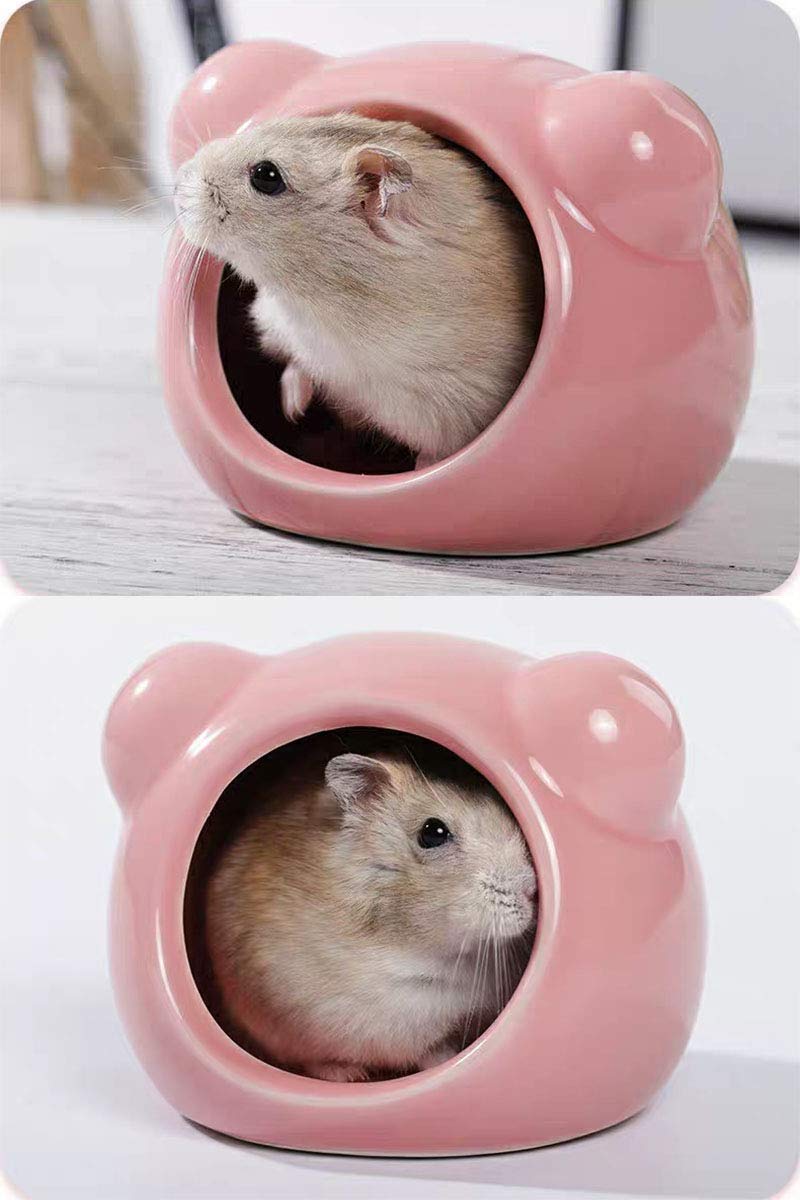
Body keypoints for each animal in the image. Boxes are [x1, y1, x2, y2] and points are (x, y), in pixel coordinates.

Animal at [175, 113, 543, 467]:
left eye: (266, 176)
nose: (178, 182)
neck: (320, 295)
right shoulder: (283, 329)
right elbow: (297, 363)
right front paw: (293, 408)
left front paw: (422, 466)